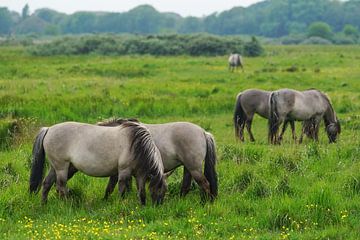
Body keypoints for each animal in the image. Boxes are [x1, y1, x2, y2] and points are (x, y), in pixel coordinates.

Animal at [28, 121, 167, 205]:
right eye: (158, 188)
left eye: (165, 190)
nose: (157, 206)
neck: (136, 143)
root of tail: (49, 129)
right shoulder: (124, 171)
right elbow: (122, 188)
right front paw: (121, 203)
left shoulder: (139, 174)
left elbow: (141, 191)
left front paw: (142, 205)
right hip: (61, 167)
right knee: (60, 186)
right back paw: (67, 204)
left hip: (54, 167)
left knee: (46, 184)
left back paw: (44, 204)